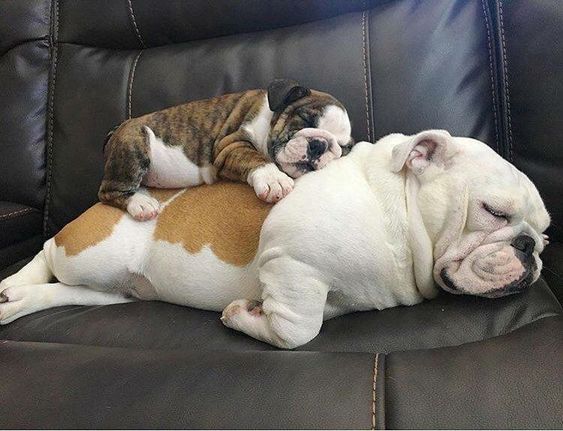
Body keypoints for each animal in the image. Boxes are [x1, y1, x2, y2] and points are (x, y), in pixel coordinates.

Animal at [0, 130, 548, 350]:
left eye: (544, 236)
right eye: (494, 212)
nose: (527, 248)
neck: (400, 211)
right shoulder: (292, 260)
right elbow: (298, 328)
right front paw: (244, 315)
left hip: (110, 290)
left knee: (62, 289)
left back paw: (15, 301)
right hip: (95, 252)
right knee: (48, 249)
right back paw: (13, 284)